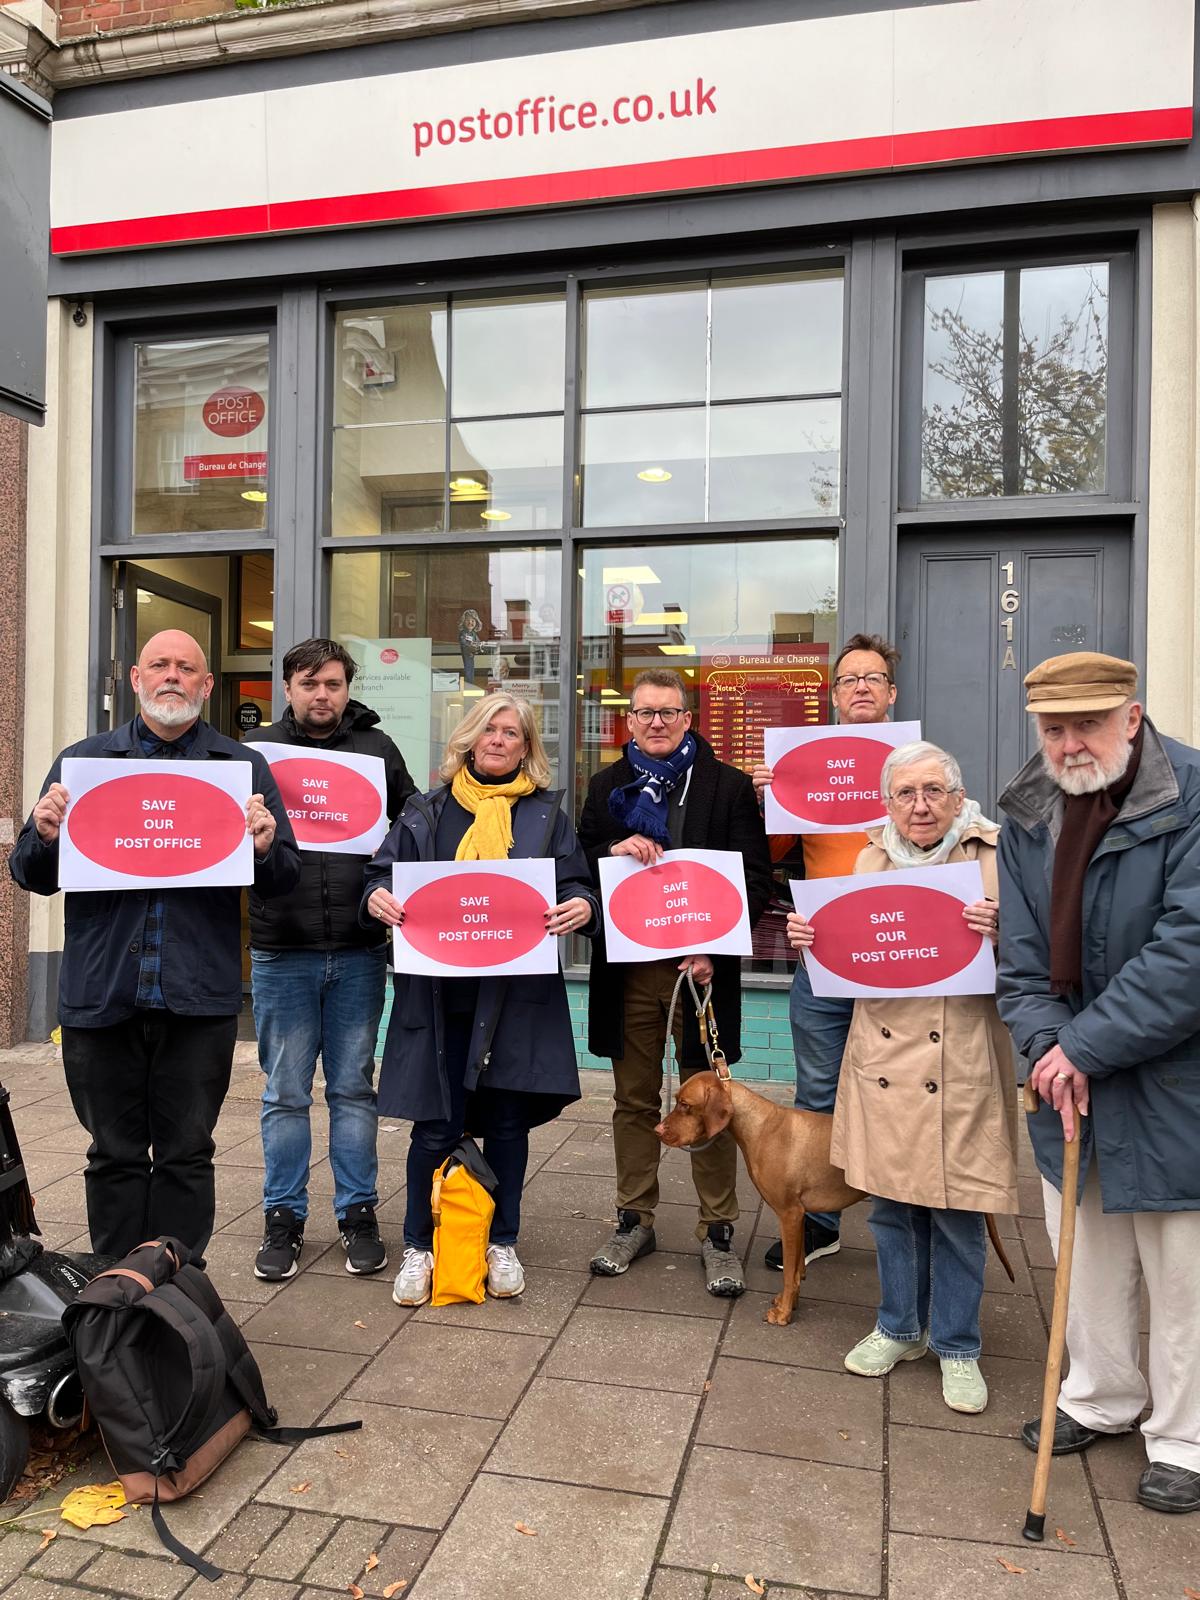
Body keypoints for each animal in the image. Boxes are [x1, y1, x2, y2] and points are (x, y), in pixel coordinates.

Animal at [659, 1075, 1017, 1324]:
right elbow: (796, 1271)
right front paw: (790, 1302)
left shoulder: (789, 1214)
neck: (759, 1125)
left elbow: (789, 1272)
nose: (658, 1129)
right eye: (676, 1101)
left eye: (685, 1104)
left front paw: (784, 1313)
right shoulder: (800, 1215)